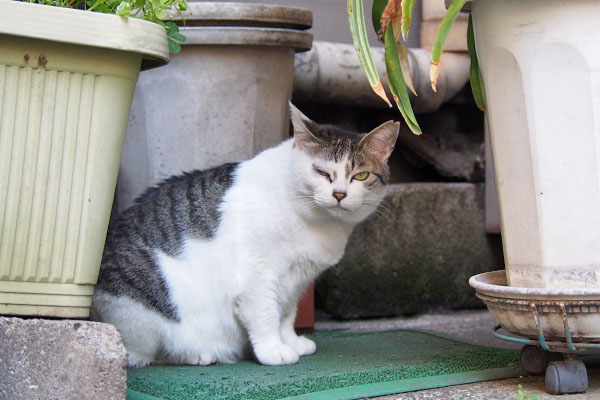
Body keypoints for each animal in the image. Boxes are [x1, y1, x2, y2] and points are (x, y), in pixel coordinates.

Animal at [90, 104, 398, 368]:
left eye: (360, 176)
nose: (339, 194)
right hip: (142, 314)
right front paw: (273, 350)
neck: (319, 224)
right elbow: (265, 315)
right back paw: (200, 355)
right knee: (144, 355)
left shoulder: (296, 280)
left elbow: (286, 315)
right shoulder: (257, 276)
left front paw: (291, 342)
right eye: (321, 172)